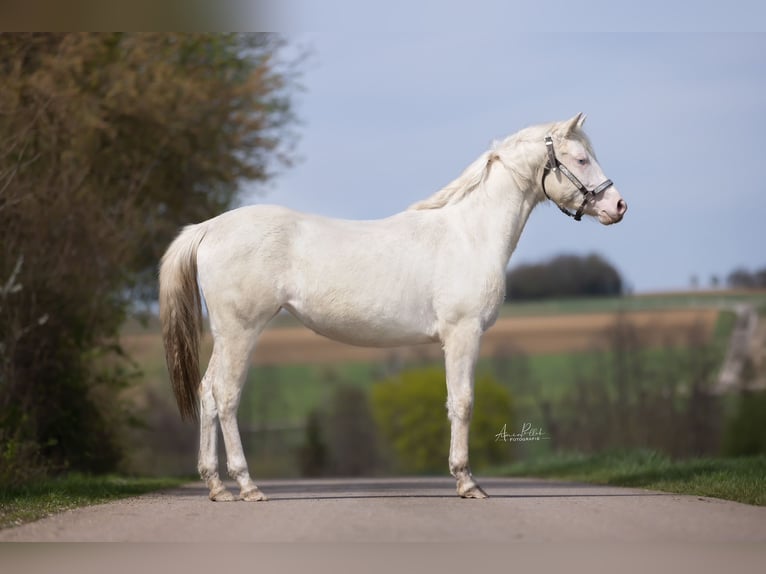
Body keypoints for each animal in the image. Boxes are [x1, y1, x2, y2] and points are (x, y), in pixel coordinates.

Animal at [159, 115, 628, 502]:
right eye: (582, 158)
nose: (618, 206)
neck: (470, 234)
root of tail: (209, 228)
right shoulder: (463, 333)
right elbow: (462, 402)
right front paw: (467, 482)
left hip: (225, 335)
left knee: (207, 393)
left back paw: (217, 487)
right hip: (241, 331)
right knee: (227, 396)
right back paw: (247, 486)